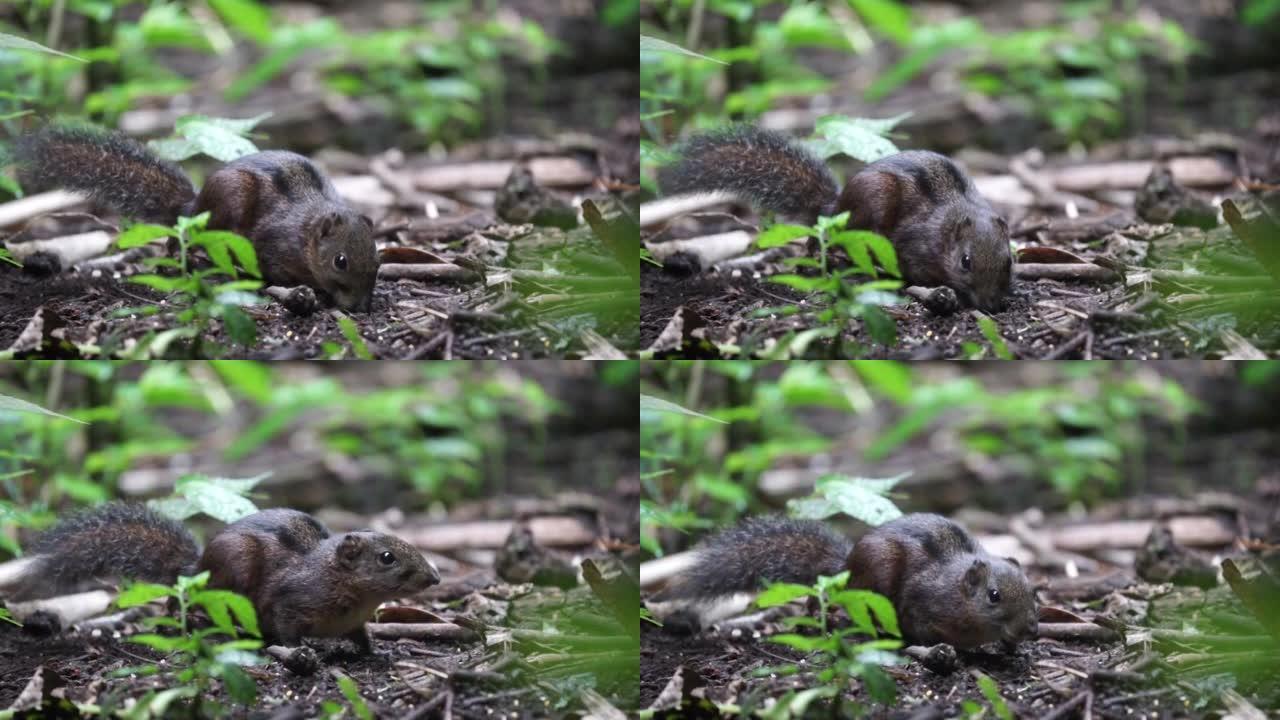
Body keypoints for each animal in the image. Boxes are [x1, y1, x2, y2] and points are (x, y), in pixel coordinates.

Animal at [1, 499, 440, 650]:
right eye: (386, 558)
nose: (434, 580)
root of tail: (196, 569)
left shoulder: (354, 622)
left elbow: (361, 636)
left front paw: (375, 651)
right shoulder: (290, 602)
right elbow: (286, 629)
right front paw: (302, 651)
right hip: (235, 570)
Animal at [12, 124, 376, 310]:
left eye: (377, 259)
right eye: (340, 261)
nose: (360, 307)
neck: (307, 230)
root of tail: (194, 206)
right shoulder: (274, 243)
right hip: (229, 203)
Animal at [650, 509, 1039, 650]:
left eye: (1034, 593)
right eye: (993, 596)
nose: (1029, 631)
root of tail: (848, 565)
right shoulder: (921, 601)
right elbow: (918, 625)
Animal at [660, 124, 1008, 310]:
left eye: (1008, 262)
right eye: (965, 262)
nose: (990, 305)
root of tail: (836, 207)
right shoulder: (914, 244)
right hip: (874, 203)